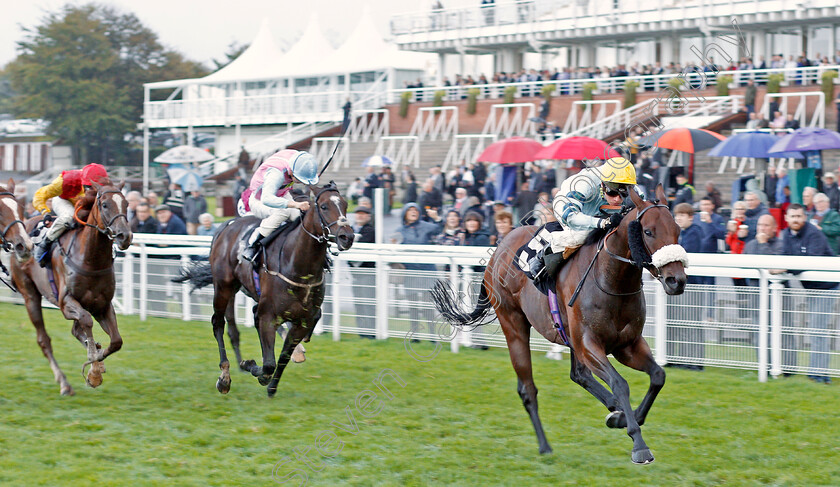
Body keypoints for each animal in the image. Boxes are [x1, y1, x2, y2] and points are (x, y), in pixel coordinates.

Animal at [10, 179, 132, 396]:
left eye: (126, 204)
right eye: (105, 204)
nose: (124, 235)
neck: (91, 259)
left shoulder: (103, 305)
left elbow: (116, 340)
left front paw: (96, 363)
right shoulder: (66, 303)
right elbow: (86, 321)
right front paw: (94, 367)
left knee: (77, 331)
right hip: (30, 295)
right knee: (44, 339)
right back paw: (64, 384)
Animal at [176, 181, 352, 398]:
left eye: (345, 205)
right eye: (325, 206)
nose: (347, 236)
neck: (297, 263)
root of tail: (225, 225)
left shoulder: (304, 320)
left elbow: (283, 356)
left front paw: (272, 386)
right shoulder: (268, 315)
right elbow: (268, 364)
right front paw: (250, 366)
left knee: (244, 319)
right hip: (224, 286)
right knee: (218, 323)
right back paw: (224, 377)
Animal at [434, 187, 688, 466]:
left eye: (677, 229)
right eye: (649, 232)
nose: (676, 280)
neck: (611, 280)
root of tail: (499, 249)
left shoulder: (627, 345)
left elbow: (658, 376)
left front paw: (625, 417)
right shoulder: (589, 344)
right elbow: (620, 383)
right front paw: (639, 446)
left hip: (569, 337)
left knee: (579, 375)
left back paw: (614, 409)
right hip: (514, 325)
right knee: (528, 389)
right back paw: (545, 446)